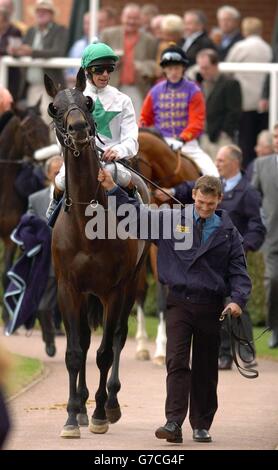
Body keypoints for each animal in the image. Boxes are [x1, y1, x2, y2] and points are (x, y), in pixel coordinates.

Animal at [44, 69, 150, 436]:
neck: (86, 226)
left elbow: (105, 352)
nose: (78, 128)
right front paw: (72, 415)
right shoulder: (69, 288)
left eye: (87, 102)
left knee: (116, 338)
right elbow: (76, 351)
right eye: (54, 108)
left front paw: (101, 414)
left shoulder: (114, 290)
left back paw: (111, 402)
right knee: (88, 340)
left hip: (132, 284)